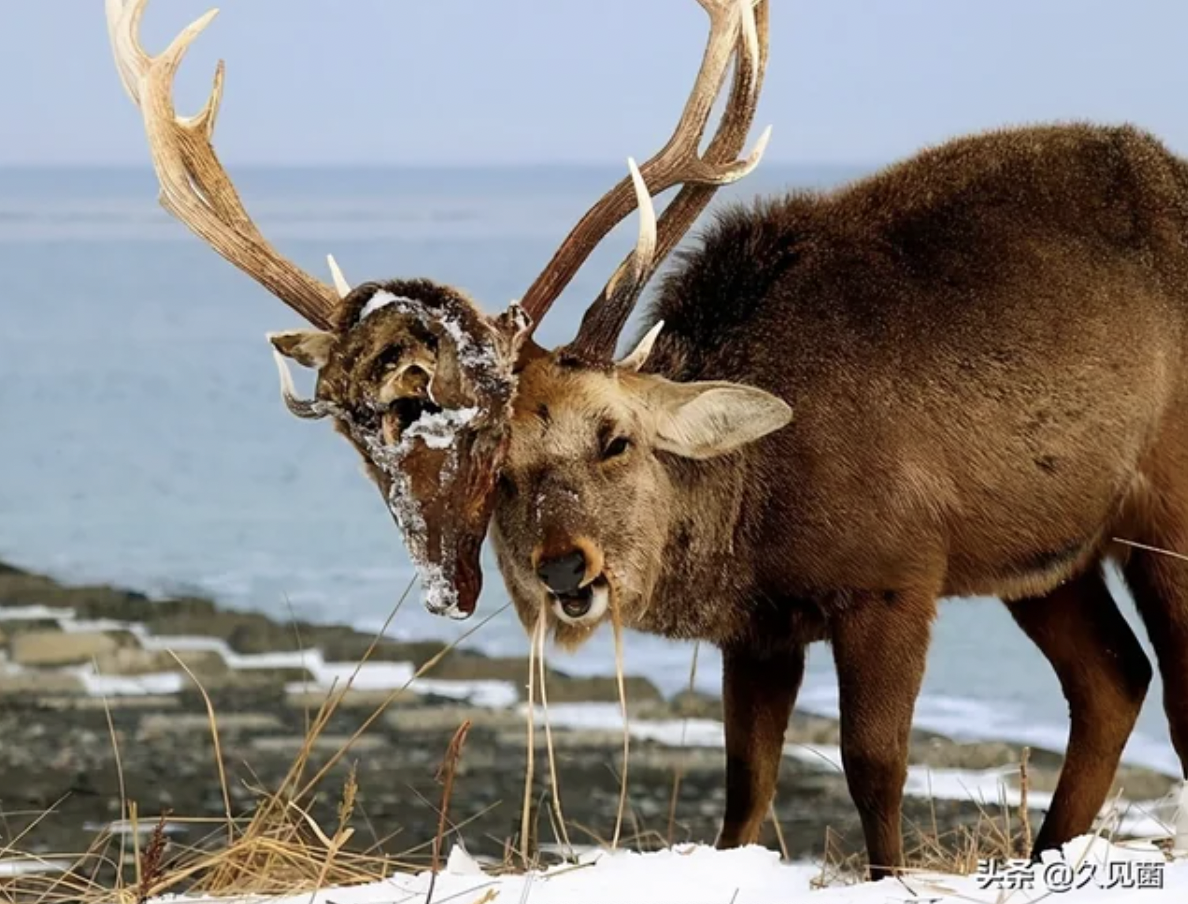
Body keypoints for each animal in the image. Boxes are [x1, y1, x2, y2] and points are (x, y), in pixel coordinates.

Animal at [106, 0, 1183, 883]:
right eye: (498, 469)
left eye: (615, 437)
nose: (565, 568)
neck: (759, 506)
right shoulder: (761, 626)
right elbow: (744, 794)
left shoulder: (893, 577)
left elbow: (874, 769)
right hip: (1047, 553)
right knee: (1112, 679)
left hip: (1163, 511)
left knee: (1159, 682)